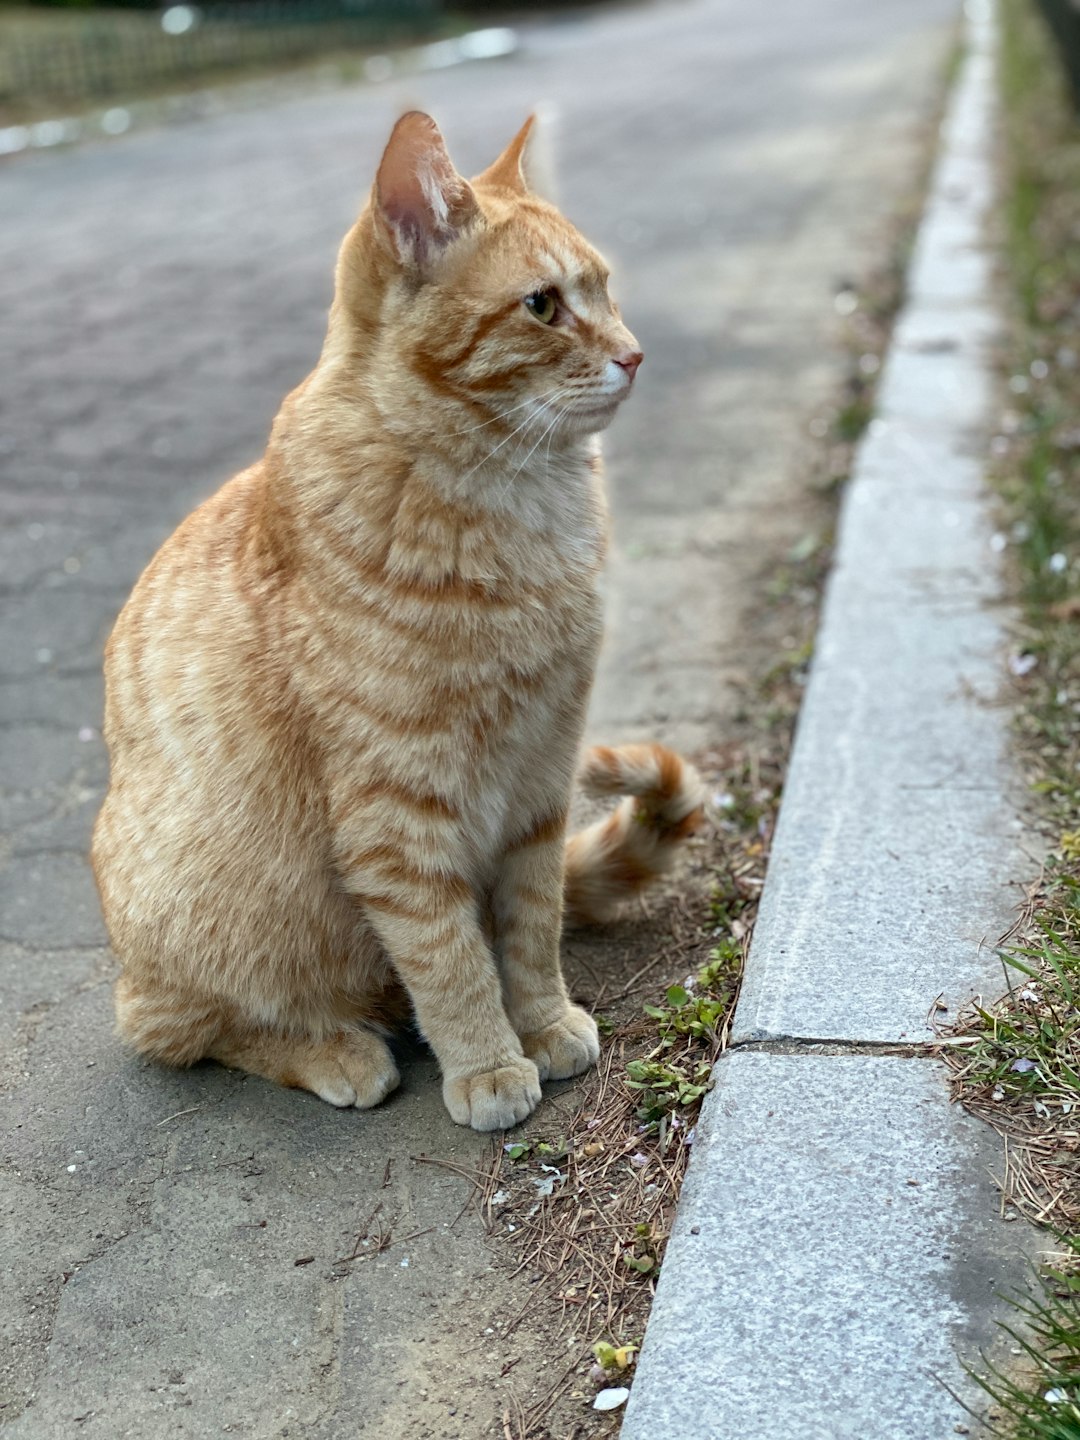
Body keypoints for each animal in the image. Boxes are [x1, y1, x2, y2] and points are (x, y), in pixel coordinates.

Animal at [91, 112, 702, 1128]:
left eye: (605, 289)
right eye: (543, 307)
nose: (635, 353)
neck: (520, 506)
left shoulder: (541, 776)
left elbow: (529, 930)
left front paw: (543, 1023)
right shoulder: (399, 816)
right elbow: (448, 959)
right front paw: (489, 1065)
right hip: (202, 918)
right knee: (180, 1027)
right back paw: (336, 1049)